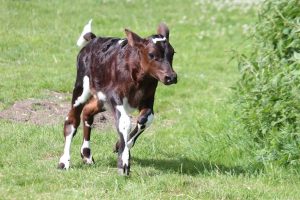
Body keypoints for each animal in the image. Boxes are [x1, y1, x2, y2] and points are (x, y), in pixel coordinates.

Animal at [57, 19, 177, 175]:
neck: (139, 79)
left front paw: (120, 145)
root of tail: (95, 39)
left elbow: (146, 119)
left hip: (101, 99)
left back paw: (87, 155)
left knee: (88, 112)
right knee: (71, 121)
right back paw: (64, 162)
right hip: (81, 88)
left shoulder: (148, 98)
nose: (171, 77)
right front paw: (124, 163)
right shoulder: (116, 96)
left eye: (172, 53)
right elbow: (125, 122)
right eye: (151, 54)